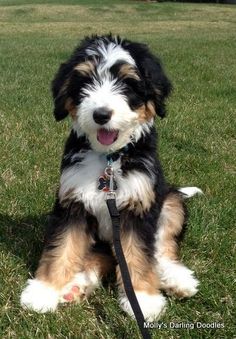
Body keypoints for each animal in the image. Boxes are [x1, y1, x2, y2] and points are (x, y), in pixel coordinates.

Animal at [20, 34, 202, 322]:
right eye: (86, 82)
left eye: (126, 83)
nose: (101, 115)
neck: (109, 159)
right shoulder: (72, 203)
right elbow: (62, 247)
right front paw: (43, 291)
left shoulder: (139, 206)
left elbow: (139, 254)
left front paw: (143, 299)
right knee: (98, 257)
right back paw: (76, 285)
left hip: (170, 200)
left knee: (162, 249)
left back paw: (177, 279)